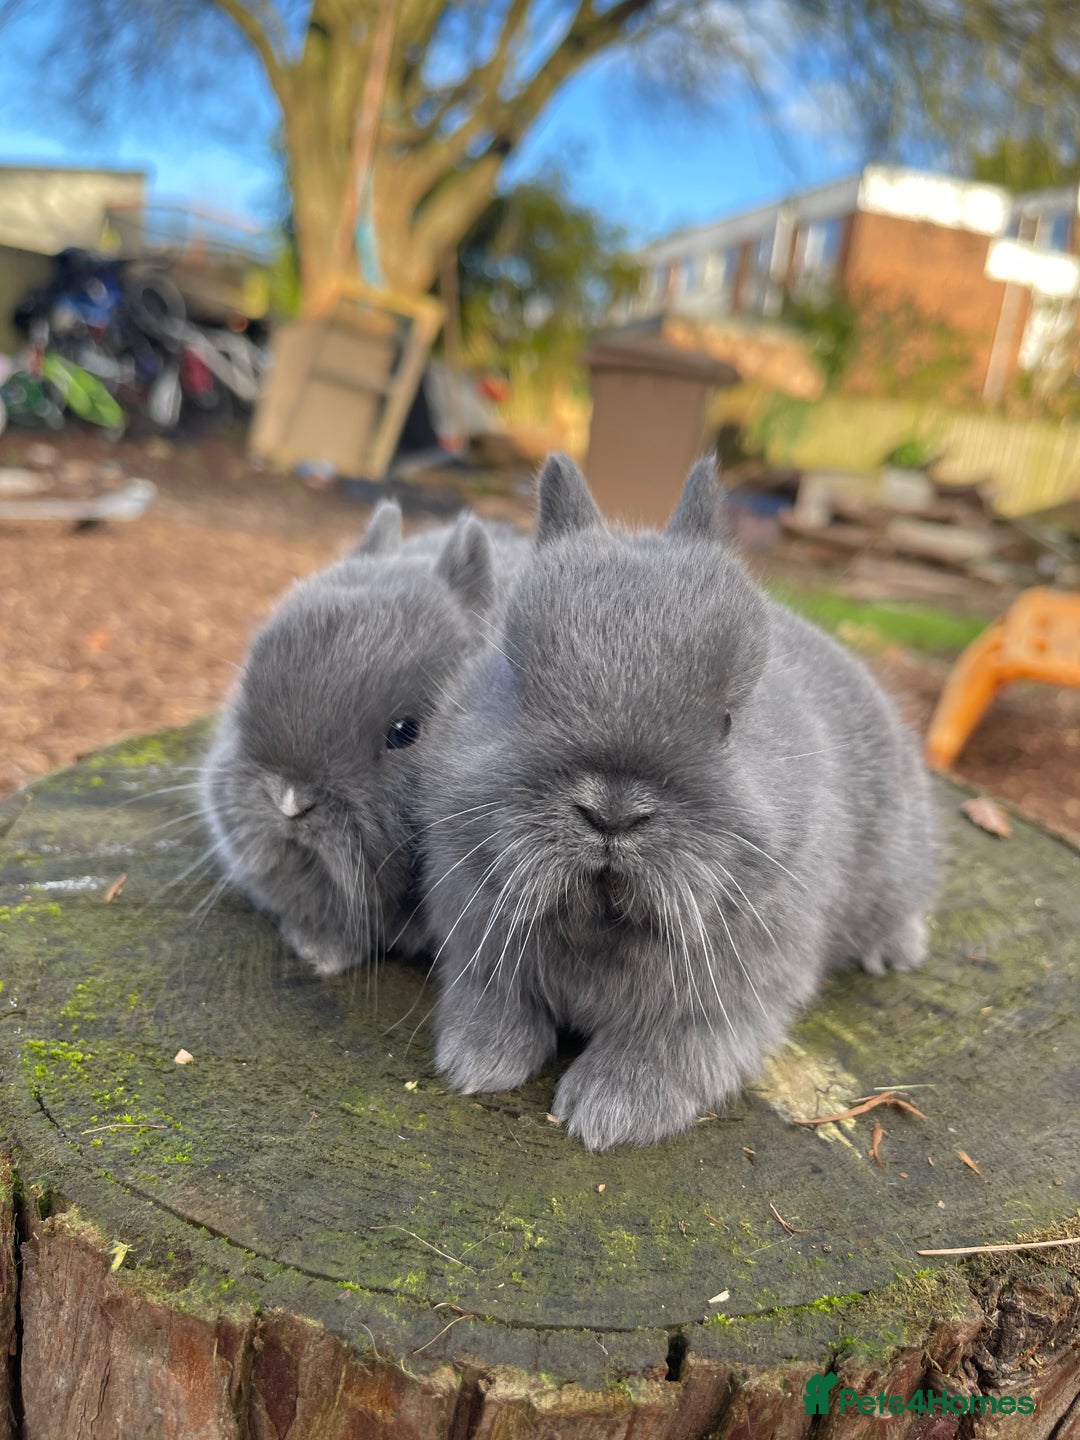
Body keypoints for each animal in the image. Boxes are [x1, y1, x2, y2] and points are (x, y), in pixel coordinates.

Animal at [418, 454, 938, 1150]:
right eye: (519, 687)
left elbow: (670, 1048)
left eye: (726, 721)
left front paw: (608, 1114)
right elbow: (495, 996)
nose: (612, 814)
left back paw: (895, 952)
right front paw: (476, 1063)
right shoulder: (477, 933)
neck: (602, 930)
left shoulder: (728, 1002)